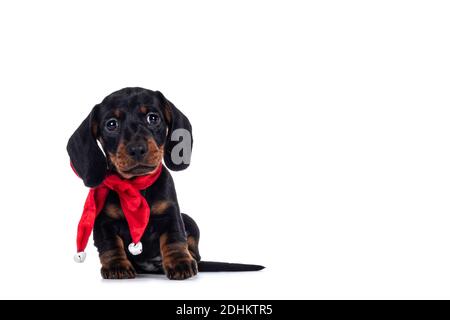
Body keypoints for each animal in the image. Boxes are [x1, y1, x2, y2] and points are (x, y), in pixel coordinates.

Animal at [67, 87, 264, 280]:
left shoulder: (171, 213)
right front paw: (117, 265)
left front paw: (179, 262)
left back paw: (190, 259)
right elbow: (110, 245)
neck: (137, 186)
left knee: (194, 251)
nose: (137, 149)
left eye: (153, 118)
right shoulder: (104, 222)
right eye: (111, 124)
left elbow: (174, 239)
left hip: (189, 220)